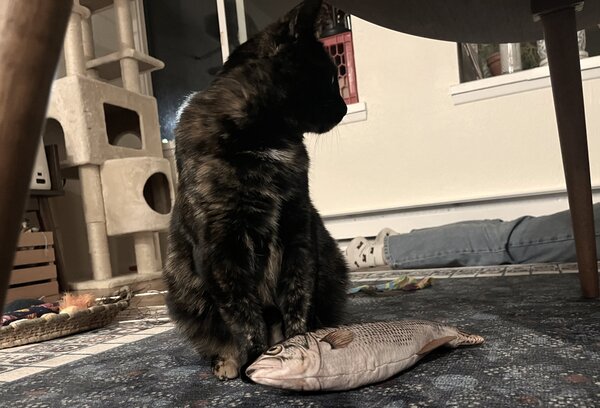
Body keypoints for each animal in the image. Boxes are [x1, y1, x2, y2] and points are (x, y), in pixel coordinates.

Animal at [166, 0, 350, 380]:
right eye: (328, 77)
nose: (344, 108)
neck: (268, 141)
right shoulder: (222, 245)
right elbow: (242, 314)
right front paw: (254, 359)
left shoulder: (298, 230)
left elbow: (297, 296)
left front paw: (298, 345)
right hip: (180, 284)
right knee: (215, 335)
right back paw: (226, 363)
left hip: (332, 263)